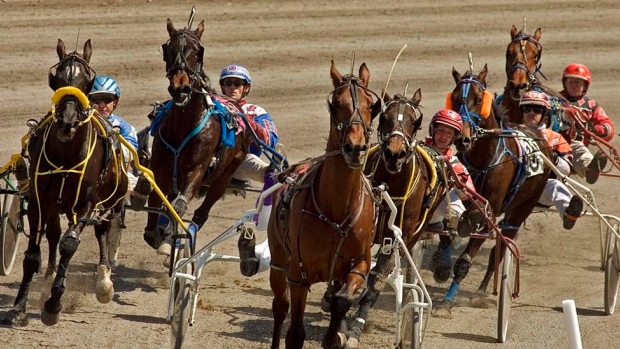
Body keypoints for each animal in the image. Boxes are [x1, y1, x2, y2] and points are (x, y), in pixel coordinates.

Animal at [1, 87, 128, 326]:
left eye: (86, 82)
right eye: (58, 81)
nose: (67, 122)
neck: (66, 156)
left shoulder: (86, 205)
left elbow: (69, 244)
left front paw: (53, 305)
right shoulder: (39, 203)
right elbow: (32, 256)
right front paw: (18, 307)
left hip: (109, 200)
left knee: (102, 229)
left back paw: (103, 281)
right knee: (54, 233)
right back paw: (47, 279)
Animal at [140, 16, 252, 253]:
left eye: (198, 51)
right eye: (168, 50)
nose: (180, 88)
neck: (183, 125)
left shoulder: (197, 170)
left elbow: (179, 206)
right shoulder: (160, 168)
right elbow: (156, 203)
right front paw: (158, 234)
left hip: (224, 175)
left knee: (202, 212)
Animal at [268, 61, 380, 346]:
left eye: (370, 104)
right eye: (337, 103)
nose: (355, 148)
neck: (337, 210)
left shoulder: (358, 265)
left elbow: (342, 301)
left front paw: (335, 329)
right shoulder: (298, 275)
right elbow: (295, 333)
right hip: (279, 260)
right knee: (280, 307)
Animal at [348, 88, 446, 344]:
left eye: (413, 121)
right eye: (384, 117)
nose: (395, 153)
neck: (391, 185)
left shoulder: (398, 239)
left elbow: (377, 279)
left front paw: (355, 326)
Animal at [432, 64, 552, 316]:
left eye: (479, 99)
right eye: (454, 98)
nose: (463, 138)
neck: (483, 159)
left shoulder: (489, 213)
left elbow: (465, 261)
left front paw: (447, 302)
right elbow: (447, 230)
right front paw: (441, 265)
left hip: (520, 211)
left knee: (500, 249)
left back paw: (480, 292)